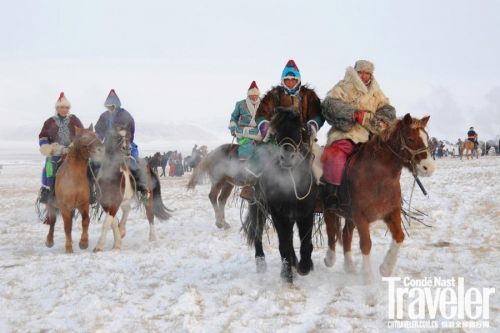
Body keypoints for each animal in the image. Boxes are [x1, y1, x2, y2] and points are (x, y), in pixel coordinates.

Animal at [46, 124, 103, 252]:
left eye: (96, 135)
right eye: (84, 137)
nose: (101, 150)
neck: (74, 179)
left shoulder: (83, 203)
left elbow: (85, 221)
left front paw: (83, 243)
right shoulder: (64, 207)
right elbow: (67, 226)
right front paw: (68, 248)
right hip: (52, 205)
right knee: (52, 221)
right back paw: (49, 241)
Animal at [241, 107, 316, 282]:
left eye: (300, 130)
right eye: (277, 132)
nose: (287, 157)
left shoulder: (306, 213)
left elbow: (305, 242)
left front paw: (304, 266)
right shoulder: (278, 214)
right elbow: (284, 245)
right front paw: (286, 275)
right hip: (258, 207)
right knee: (257, 231)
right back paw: (261, 263)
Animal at [322, 113, 436, 282]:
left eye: (426, 138)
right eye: (410, 139)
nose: (429, 168)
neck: (377, 177)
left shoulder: (391, 212)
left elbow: (399, 236)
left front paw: (385, 269)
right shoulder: (360, 216)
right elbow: (366, 244)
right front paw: (368, 276)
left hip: (349, 216)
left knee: (346, 234)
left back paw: (349, 266)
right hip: (329, 209)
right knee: (331, 231)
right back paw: (330, 259)